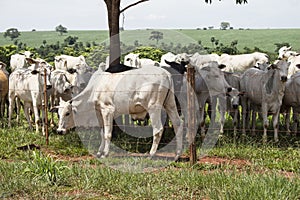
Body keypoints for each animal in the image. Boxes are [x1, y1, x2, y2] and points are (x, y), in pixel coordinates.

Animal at [52, 66, 183, 160]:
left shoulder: (107, 111)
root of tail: (166, 73)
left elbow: (107, 133)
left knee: (158, 129)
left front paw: (105, 154)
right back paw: (177, 155)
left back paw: (151, 154)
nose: (59, 131)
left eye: (67, 113)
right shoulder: (99, 112)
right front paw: (99, 152)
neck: (95, 88)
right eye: (58, 113)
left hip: (154, 107)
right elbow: (102, 133)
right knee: (178, 124)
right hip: (170, 103)